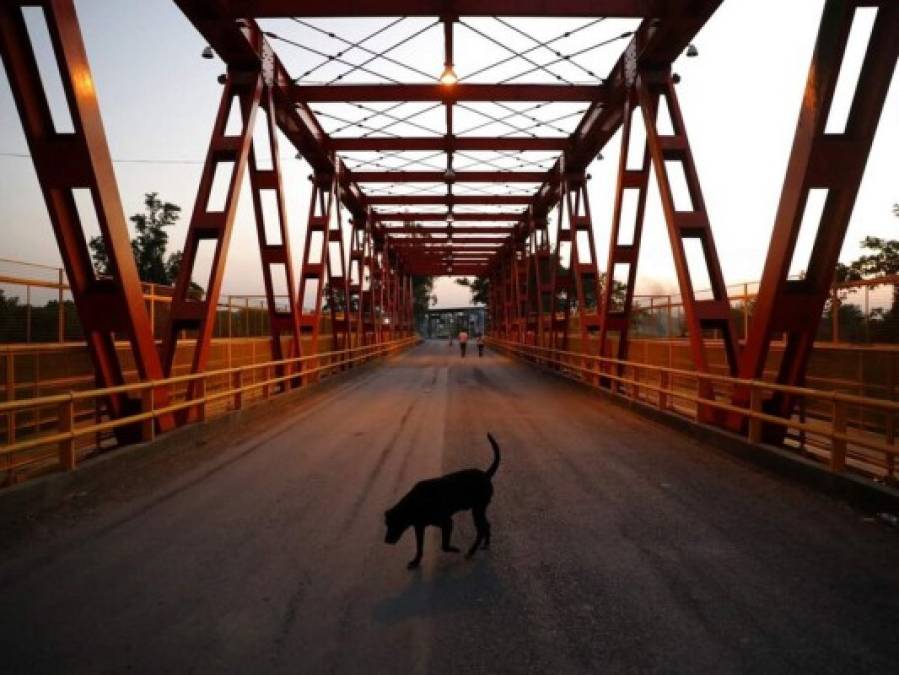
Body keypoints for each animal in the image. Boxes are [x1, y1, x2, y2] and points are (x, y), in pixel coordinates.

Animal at [384, 434, 502, 572]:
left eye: (393, 525)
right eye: (387, 524)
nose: (386, 540)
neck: (414, 503)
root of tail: (486, 475)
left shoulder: (447, 522)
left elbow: (444, 546)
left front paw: (455, 549)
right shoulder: (419, 527)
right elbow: (419, 547)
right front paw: (415, 561)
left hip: (477, 509)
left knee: (481, 529)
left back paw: (471, 551)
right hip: (480, 509)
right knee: (487, 525)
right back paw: (485, 544)